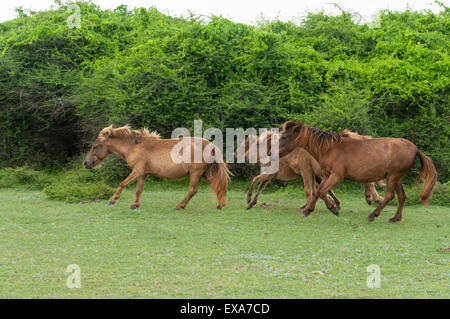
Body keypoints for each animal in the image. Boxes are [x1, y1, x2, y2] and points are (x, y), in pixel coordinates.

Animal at [83, 126, 232, 211]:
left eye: (95, 147)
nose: (85, 163)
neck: (134, 147)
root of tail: (210, 145)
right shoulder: (143, 174)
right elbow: (138, 190)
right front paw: (135, 205)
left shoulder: (137, 171)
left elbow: (123, 183)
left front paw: (112, 199)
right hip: (205, 174)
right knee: (217, 186)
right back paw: (220, 205)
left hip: (195, 173)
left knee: (193, 190)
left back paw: (180, 206)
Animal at [236, 131, 384, 211]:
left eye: (256, 144)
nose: (245, 157)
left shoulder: (305, 169)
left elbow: (309, 190)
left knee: (370, 182)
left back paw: (374, 198)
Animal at [276, 121, 438, 224]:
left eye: (284, 136)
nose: (273, 153)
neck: (329, 148)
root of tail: (415, 149)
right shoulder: (326, 175)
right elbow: (318, 192)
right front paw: (309, 210)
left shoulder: (336, 176)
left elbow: (321, 192)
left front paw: (332, 209)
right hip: (398, 178)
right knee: (402, 197)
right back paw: (395, 218)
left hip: (393, 176)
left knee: (389, 196)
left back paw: (372, 215)